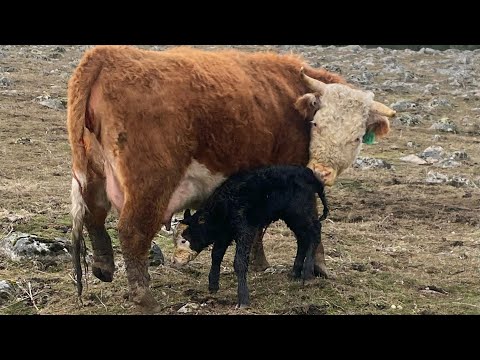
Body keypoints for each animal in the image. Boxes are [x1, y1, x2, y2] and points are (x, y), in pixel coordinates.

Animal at [66, 45, 394, 310]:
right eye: (317, 124)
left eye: (356, 137)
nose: (321, 172)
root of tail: (106, 55)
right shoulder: (298, 181)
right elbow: (309, 224)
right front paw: (319, 268)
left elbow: (259, 228)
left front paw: (259, 263)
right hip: (150, 184)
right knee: (133, 231)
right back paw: (144, 298)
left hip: (93, 175)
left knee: (95, 218)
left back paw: (103, 267)